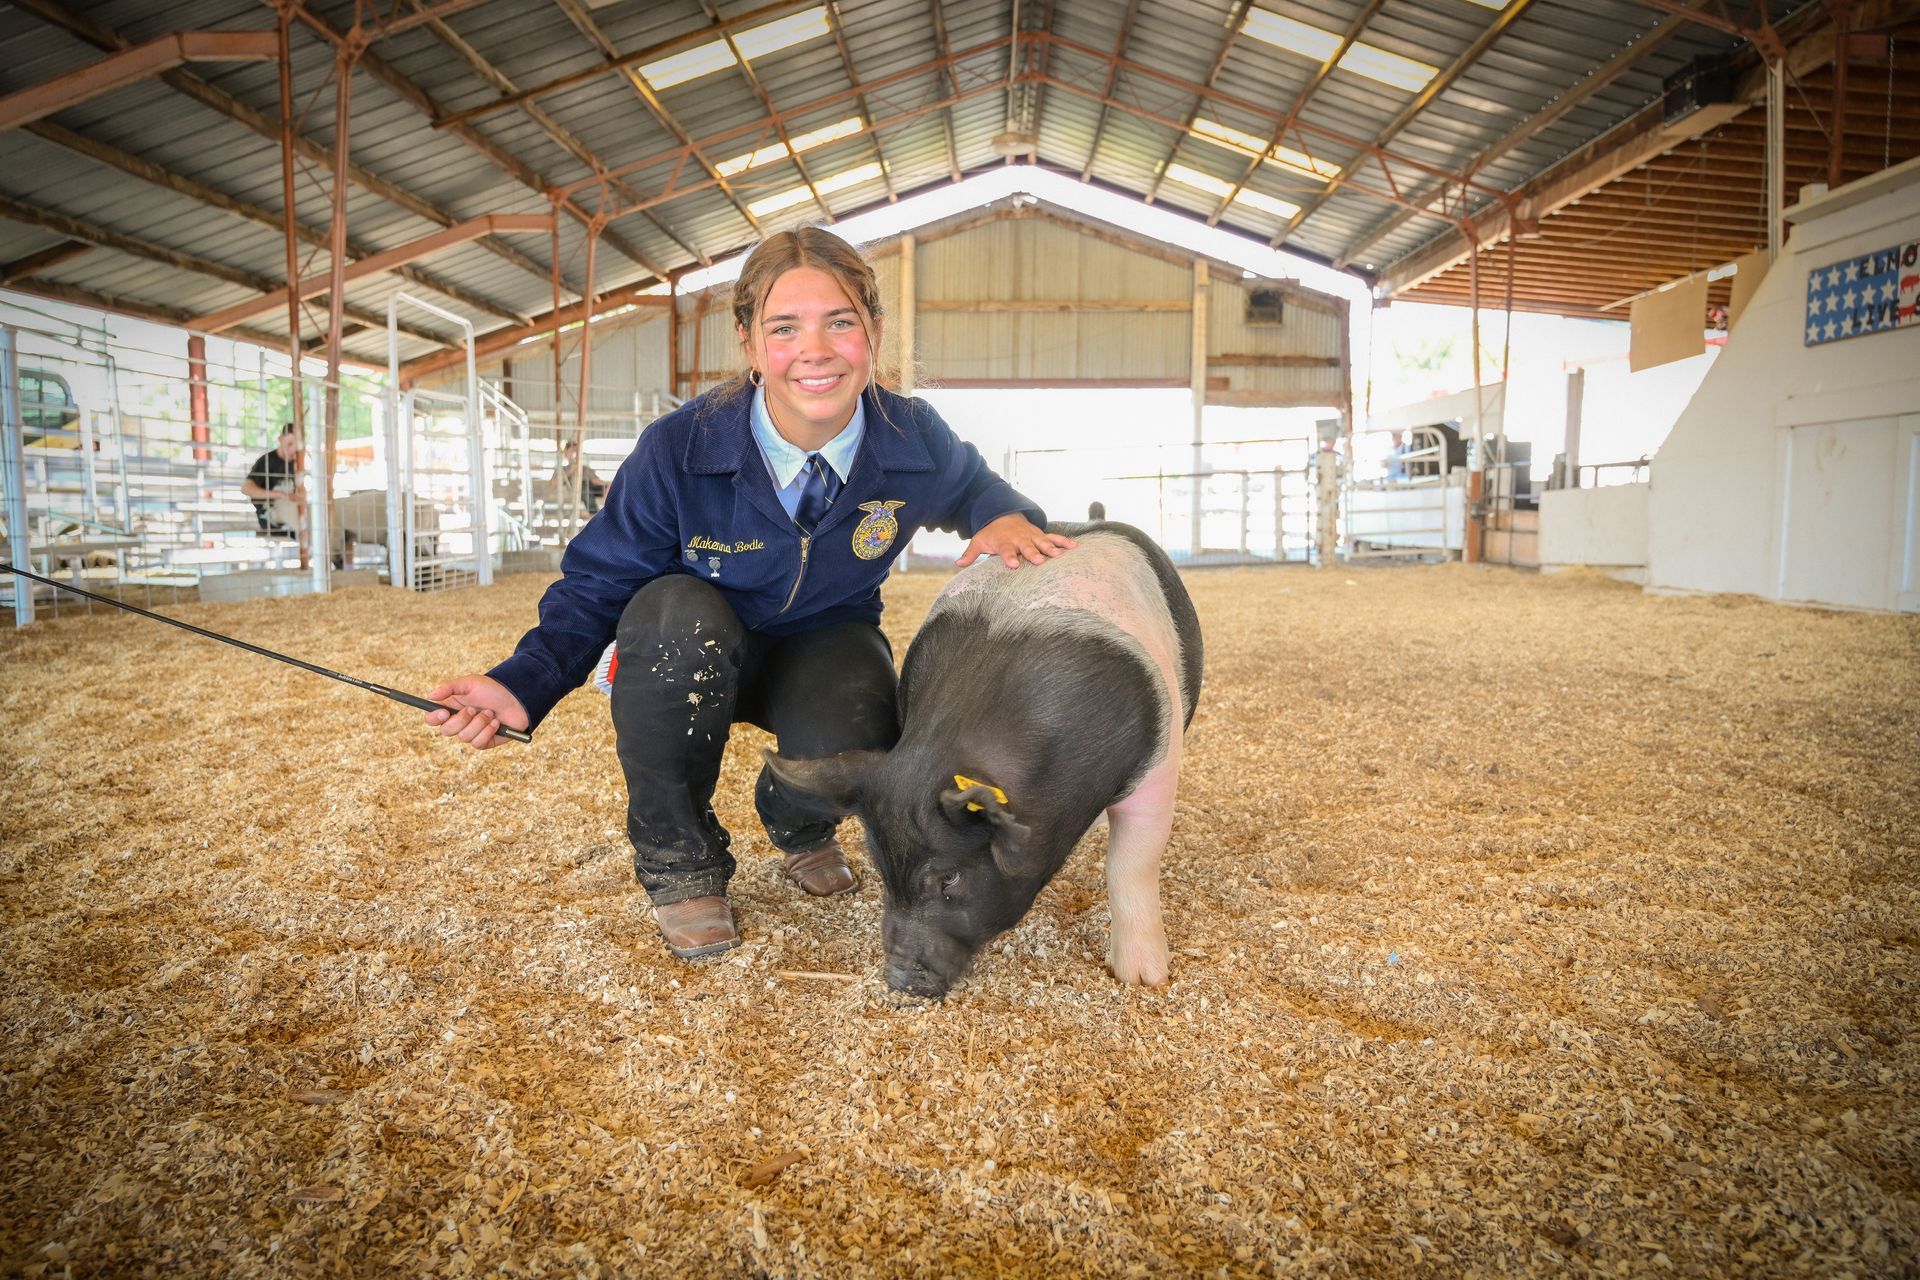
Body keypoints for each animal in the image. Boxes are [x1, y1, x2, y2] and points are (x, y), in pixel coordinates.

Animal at [764, 521, 1203, 997]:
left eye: (950, 877)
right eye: (882, 867)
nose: (900, 982)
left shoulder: (1157, 767)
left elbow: (1130, 866)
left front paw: (1143, 979)